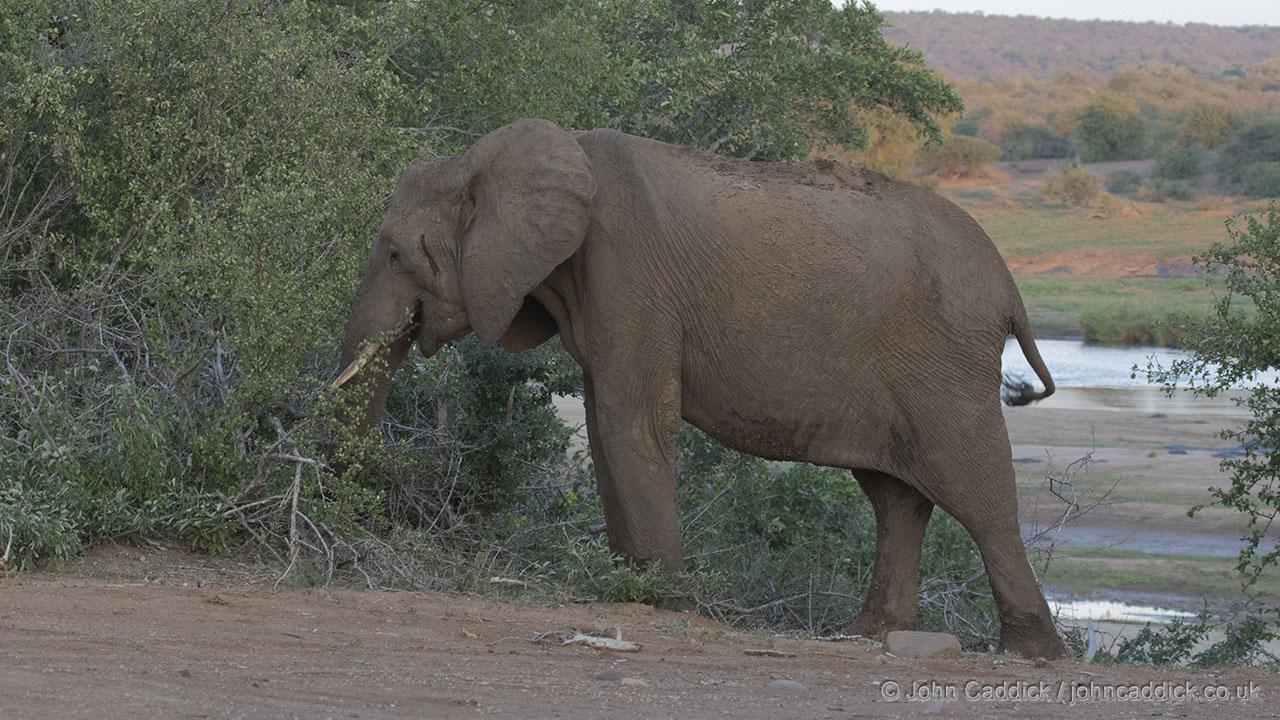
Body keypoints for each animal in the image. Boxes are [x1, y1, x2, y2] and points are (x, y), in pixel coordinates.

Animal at [335, 118, 1064, 659]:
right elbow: (605, 426)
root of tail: (1010, 287)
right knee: (895, 498)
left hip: (944, 362)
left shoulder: (629, 273)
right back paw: (869, 636)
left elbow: (632, 423)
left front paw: (668, 603)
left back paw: (1030, 652)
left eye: (395, 253)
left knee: (977, 491)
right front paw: (630, 589)